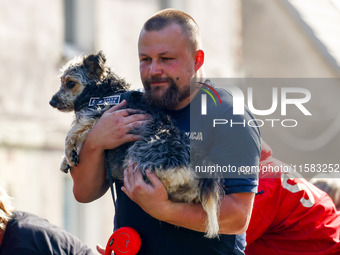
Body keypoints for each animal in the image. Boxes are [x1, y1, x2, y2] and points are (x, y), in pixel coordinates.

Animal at [48, 50, 223, 238]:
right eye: (61, 81)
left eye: (70, 83)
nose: (52, 101)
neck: (103, 90)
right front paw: (65, 160)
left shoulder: (94, 116)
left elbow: (70, 134)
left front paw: (69, 154)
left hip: (138, 156)